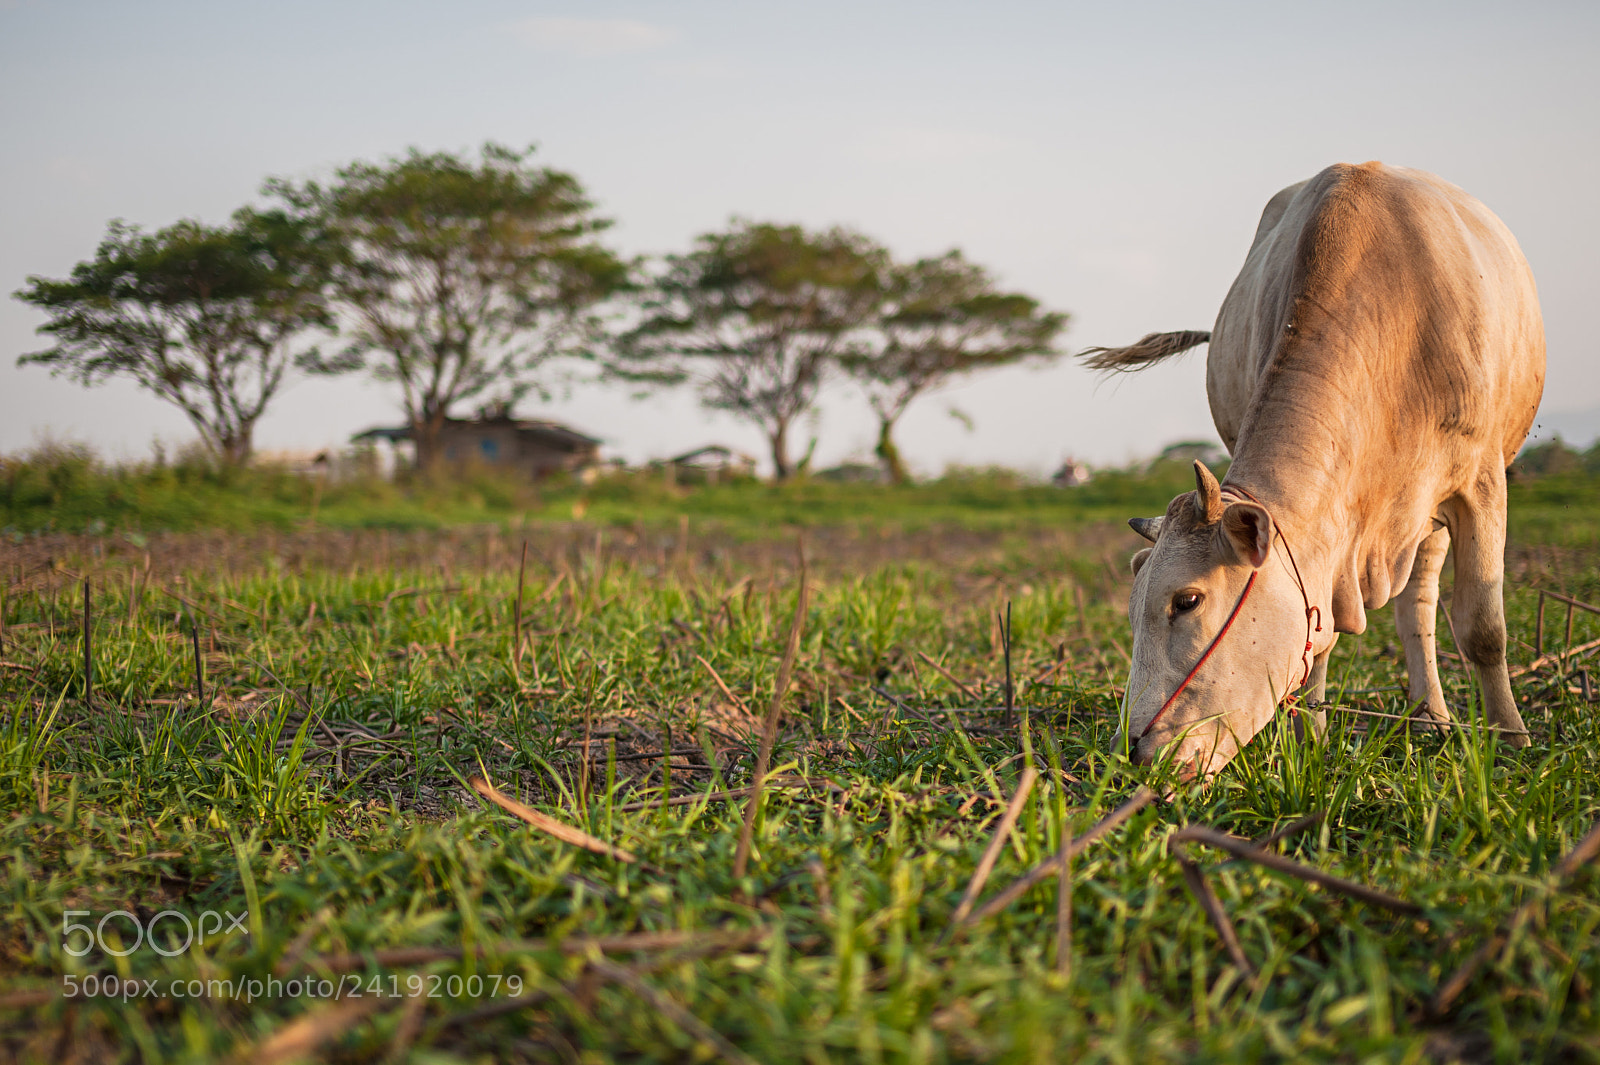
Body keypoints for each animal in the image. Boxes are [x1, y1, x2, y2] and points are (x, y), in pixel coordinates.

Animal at [1081, 162, 1544, 776]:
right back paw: (1425, 714)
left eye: (1187, 601)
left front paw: (1513, 739)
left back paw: (1432, 716)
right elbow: (1317, 637)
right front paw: (1313, 743)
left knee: (1419, 600)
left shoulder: (1481, 483)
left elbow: (1485, 629)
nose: (1133, 753)